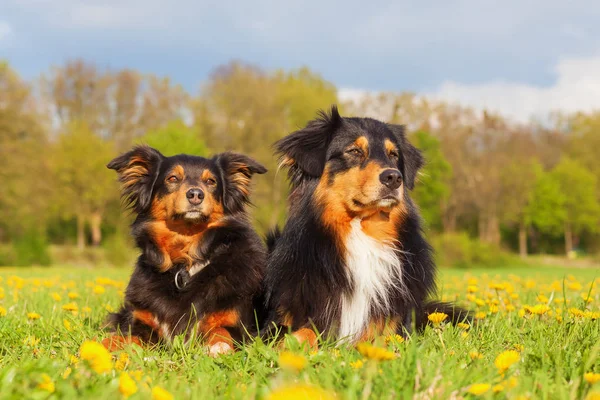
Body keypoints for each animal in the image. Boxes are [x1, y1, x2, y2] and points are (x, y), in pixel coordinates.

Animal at [103, 146, 268, 356]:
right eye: (172, 178)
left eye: (211, 181)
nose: (196, 194)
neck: (185, 263)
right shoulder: (142, 323)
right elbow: (121, 337)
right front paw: (97, 347)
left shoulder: (239, 324)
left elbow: (221, 330)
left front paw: (218, 347)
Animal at [264, 105, 468, 346]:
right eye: (354, 151)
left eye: (393, 155)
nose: (394, 178)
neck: (361, 231)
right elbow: (301, 333)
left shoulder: (394, 325)